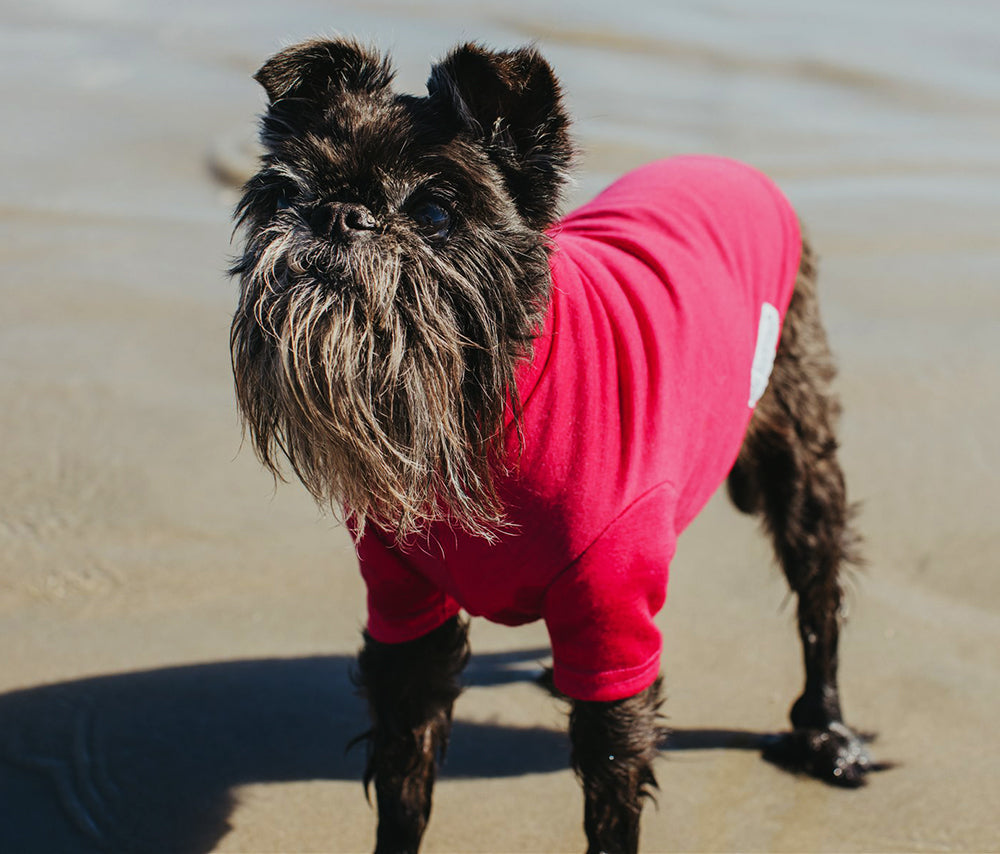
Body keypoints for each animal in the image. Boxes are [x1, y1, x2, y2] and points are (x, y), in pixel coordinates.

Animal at [230, 38, 872, 854]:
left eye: (434, 213)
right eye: (288, 193)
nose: (341, 215)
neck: (485, 424)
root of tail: (733, 167)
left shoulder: (613, 628)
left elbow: (612, 788)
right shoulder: (407, 611)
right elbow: (405, 780)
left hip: (800, 460)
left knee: (819, 599)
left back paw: (827, 732)